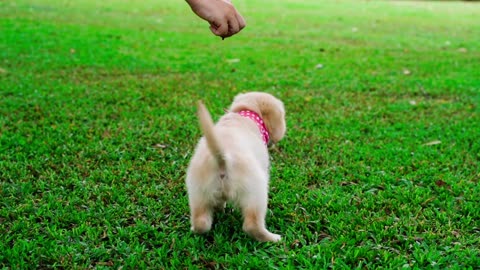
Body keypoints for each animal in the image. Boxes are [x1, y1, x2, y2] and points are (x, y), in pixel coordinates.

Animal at [186, 92, 286, 242]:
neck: (247, 114)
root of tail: (222, 159)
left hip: (199, 193)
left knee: (202, 223)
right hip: (256, 193)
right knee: (252, 225)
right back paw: (274, 238)